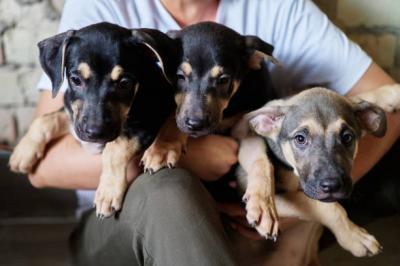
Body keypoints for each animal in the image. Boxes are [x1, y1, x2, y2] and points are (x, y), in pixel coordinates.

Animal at [9, 22, 179, 218]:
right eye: (76, 80)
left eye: (125, 83)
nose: (95, 133)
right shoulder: (72, 115)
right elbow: (46, 119)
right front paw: (23, 152)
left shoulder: (146, 123)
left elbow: (114, 148)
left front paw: (108, 193)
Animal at [233, 84, 400, 256]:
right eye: (300, 139)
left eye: (347, 137)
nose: (332, 186)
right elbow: (324, 205)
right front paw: (354, 237)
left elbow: (351, 98)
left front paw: (391, 93)